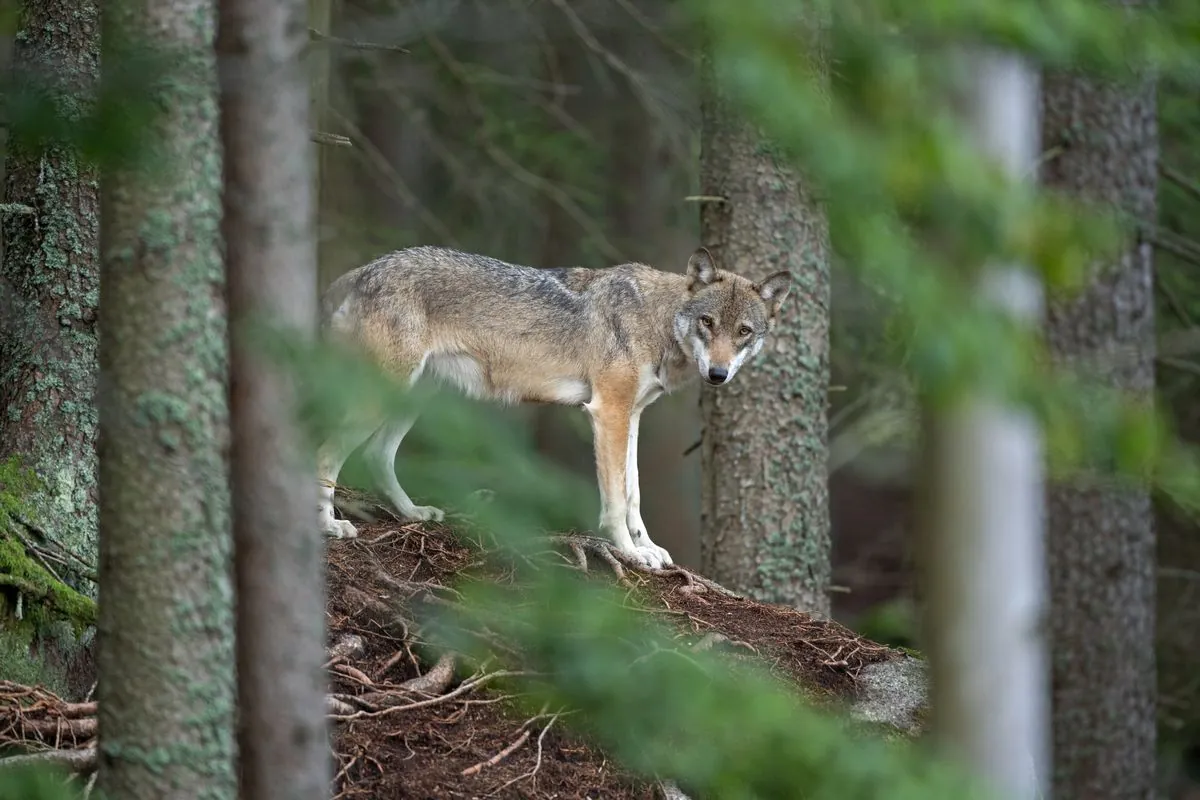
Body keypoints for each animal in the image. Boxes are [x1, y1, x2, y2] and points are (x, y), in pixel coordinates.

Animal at [314, 245, 792, 568]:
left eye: (744, 331)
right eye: (707, 323)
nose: (718, 374)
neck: (657, 320)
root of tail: (362, 270)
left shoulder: (632, 416)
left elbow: (634, 494)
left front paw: (648, 548)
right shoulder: (608, 412)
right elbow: (615, 501)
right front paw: (629, 553)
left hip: (415, 398)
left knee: (377, 455)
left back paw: (413, 513)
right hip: (382, 394)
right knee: (323, 453)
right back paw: (328, 526)